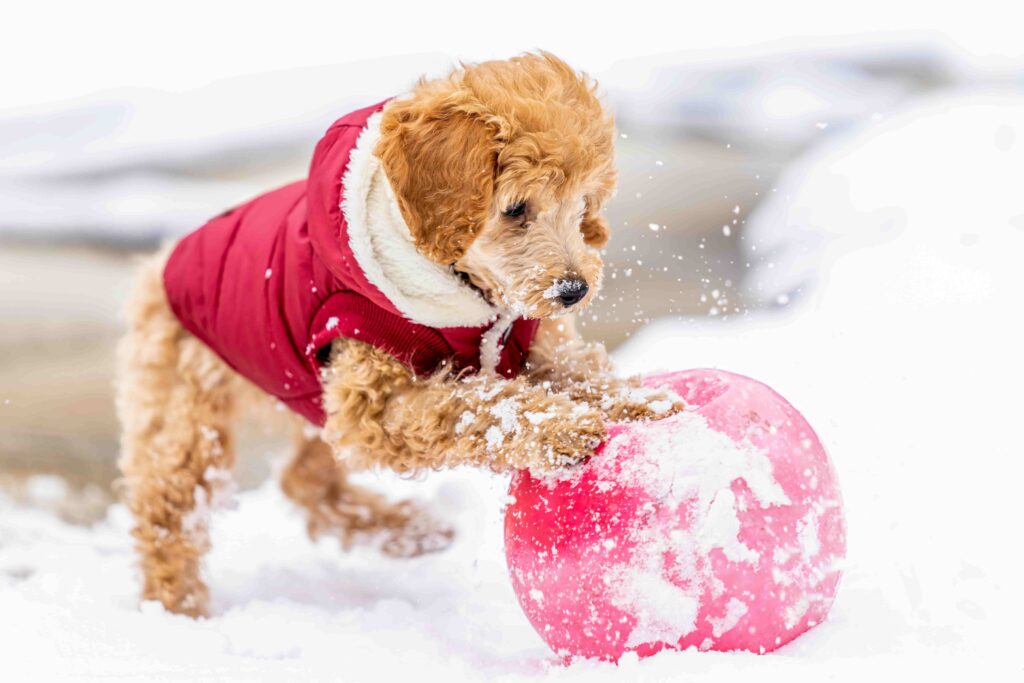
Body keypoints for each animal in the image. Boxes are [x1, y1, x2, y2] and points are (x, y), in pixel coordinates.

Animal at [116, 52, 679, 618]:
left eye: (583, 206)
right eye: (516, 208)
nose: (573, 290)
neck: (469, 293)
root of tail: (161, 264)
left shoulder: (534, 345)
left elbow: (580, 372)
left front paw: (640, 401)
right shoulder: (374, 401)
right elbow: (475, 405)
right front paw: (559, 427)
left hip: (309, 397)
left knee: (305, 478)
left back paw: (407, 531)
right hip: (188, 411)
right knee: (168, 511)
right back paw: (177, 610)